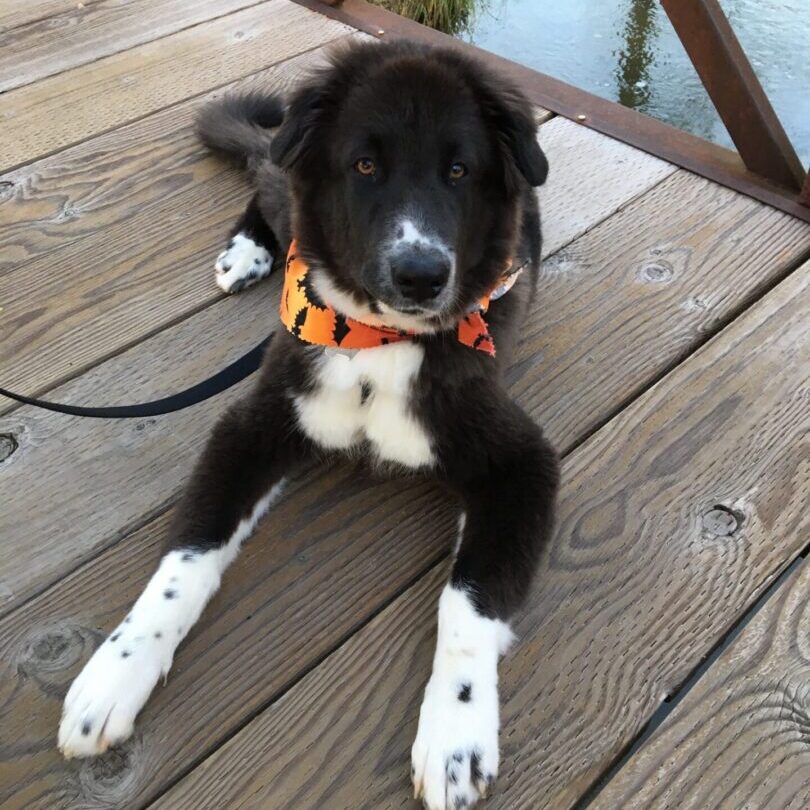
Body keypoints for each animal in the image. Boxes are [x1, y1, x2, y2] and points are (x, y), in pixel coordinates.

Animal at [58, 39, 556, 808]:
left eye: (459, 170)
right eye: (365, 165)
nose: (420, 275)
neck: (377, 344)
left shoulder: (521, 464)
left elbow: (467, 605)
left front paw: (455, 736)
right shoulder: (251, 426)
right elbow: (184, 561)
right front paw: (114, 674)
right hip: (283, 192)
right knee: (266, 175)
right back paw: (247, 250)